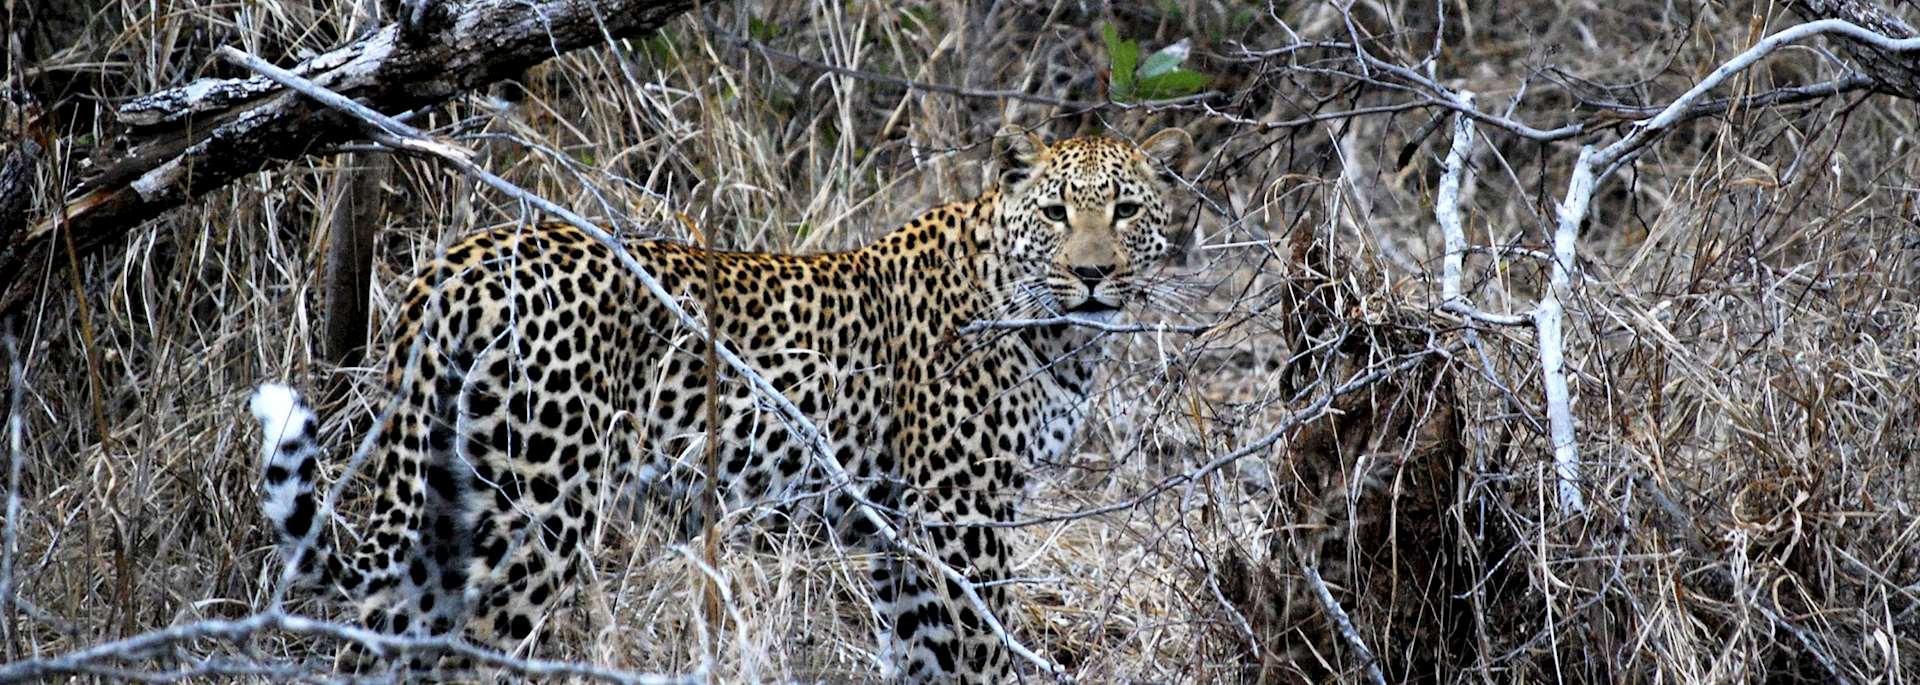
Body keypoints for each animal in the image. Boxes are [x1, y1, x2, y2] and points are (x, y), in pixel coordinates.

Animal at [248, 125, 1192, 683]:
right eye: (1059, 212)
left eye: (1126, 209)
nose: (1095, 274)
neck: (1056, 329)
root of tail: (466, 257)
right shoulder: (959, 518)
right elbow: (983, 653)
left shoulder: (898, 536)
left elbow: (922, 658)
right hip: (537, 510)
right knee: (467, 650)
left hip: (449, 494)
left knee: (386, 637)